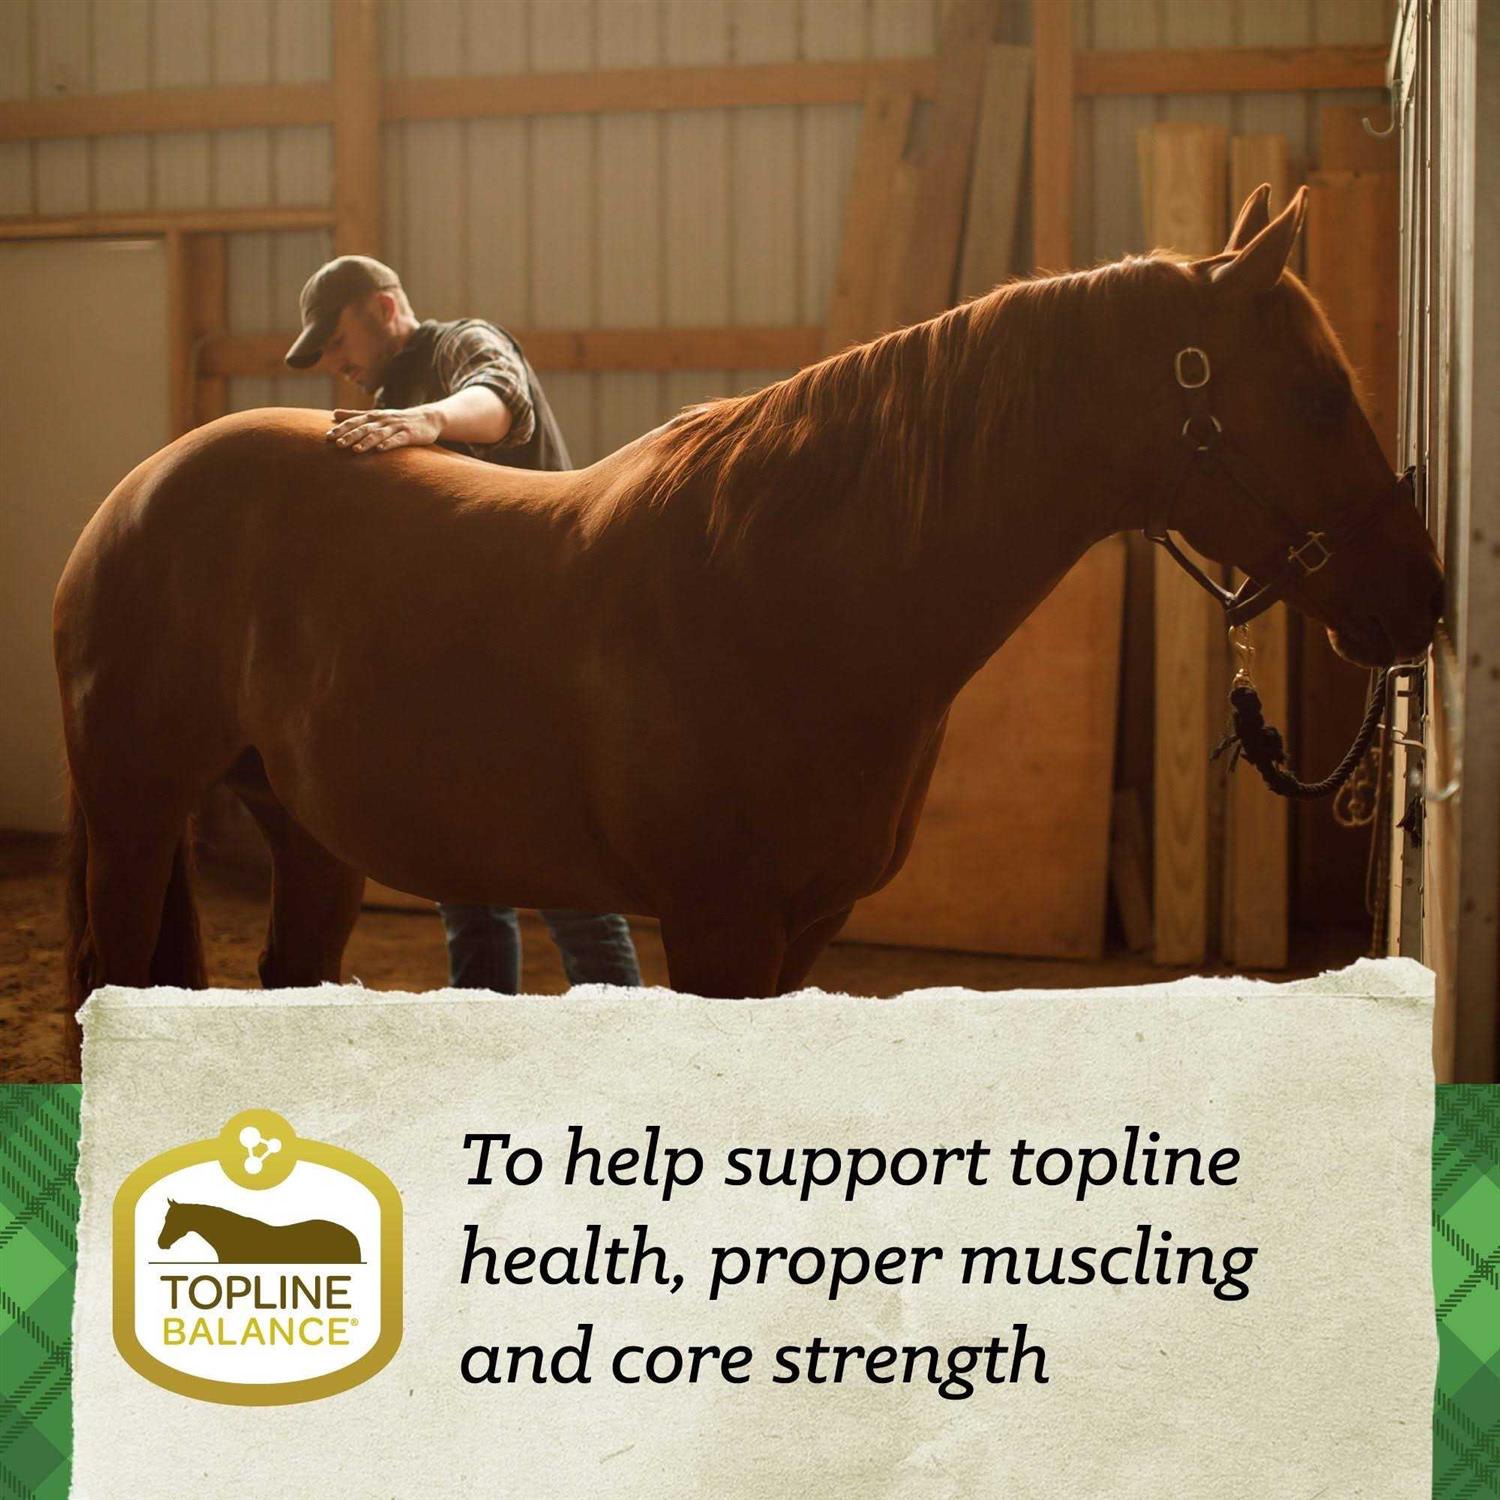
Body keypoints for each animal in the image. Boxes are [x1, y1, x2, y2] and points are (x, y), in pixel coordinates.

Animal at [54, 187, 1442, 1058]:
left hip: (309, 836)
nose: (1420, 597)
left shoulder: (805, 929)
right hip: (134, 816)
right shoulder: (721, 928)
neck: (786, 593)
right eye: (1319, 397)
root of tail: (131, 499)